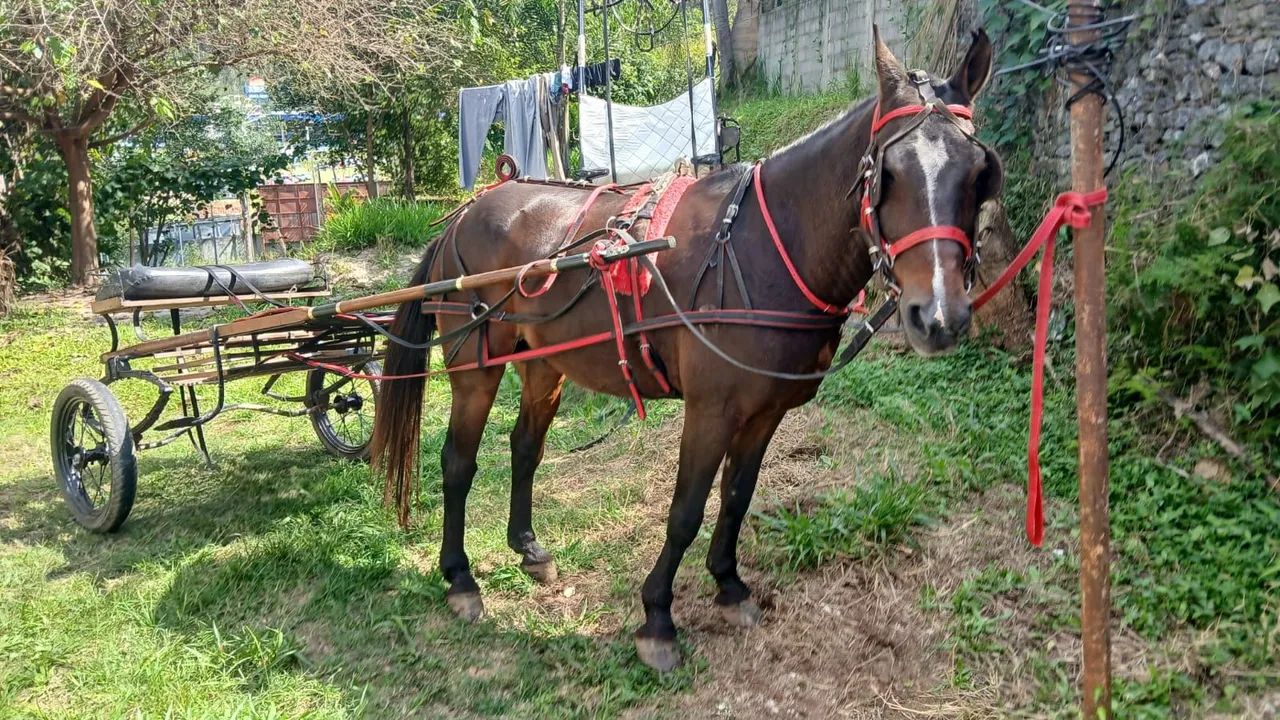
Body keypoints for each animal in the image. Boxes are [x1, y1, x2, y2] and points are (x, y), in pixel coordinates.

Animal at [371, 29, 1002, 672]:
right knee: (458, 462)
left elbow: (736, 498)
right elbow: (685, 510)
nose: (939, 315)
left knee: (525, 447)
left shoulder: (765, 410)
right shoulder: (712, 408)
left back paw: (527, 547)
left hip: (543, 362)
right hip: (475, 365)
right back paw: (460, 578)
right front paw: (657, 617)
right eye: (890, 173)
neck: (762, 245)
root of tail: (468, 211)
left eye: (980, 173)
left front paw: (729, 584)